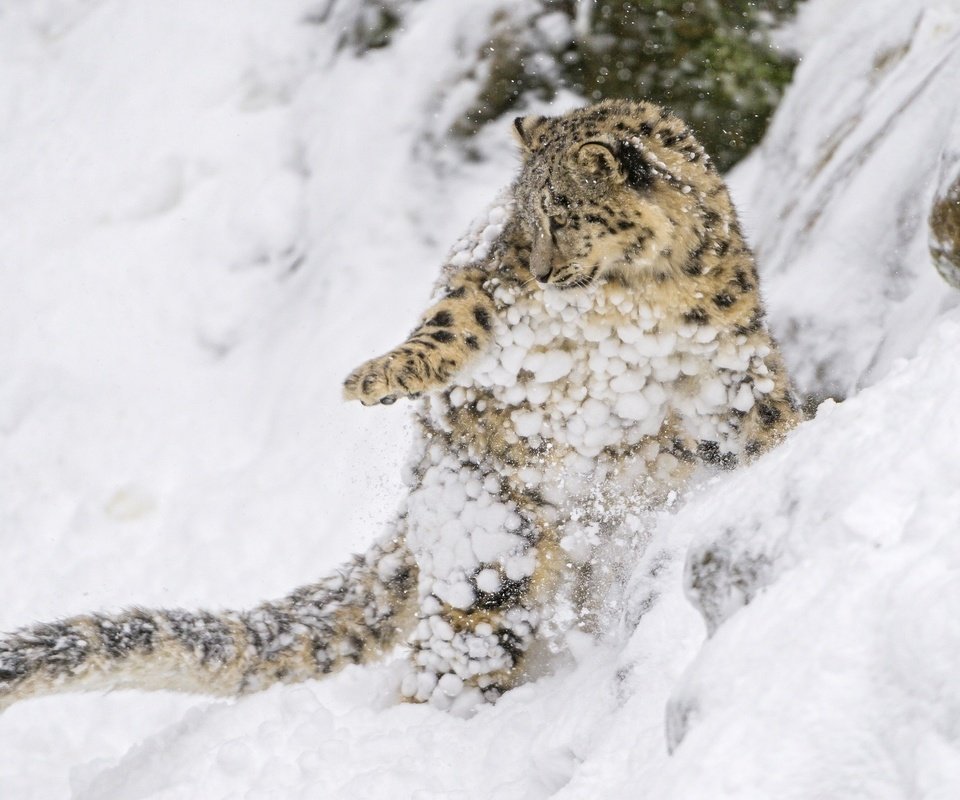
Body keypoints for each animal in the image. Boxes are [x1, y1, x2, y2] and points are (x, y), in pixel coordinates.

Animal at [0, 98, 800, 712]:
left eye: (565, 212)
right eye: (523, 220)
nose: (541, 268)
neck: (636, 298)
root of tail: (419, 498)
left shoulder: (730, 368)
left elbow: (767, 420)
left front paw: (800, 446)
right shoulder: (487, 281)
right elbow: (450, 321)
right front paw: (378, 376)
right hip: (489, 546)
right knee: (455, 652)